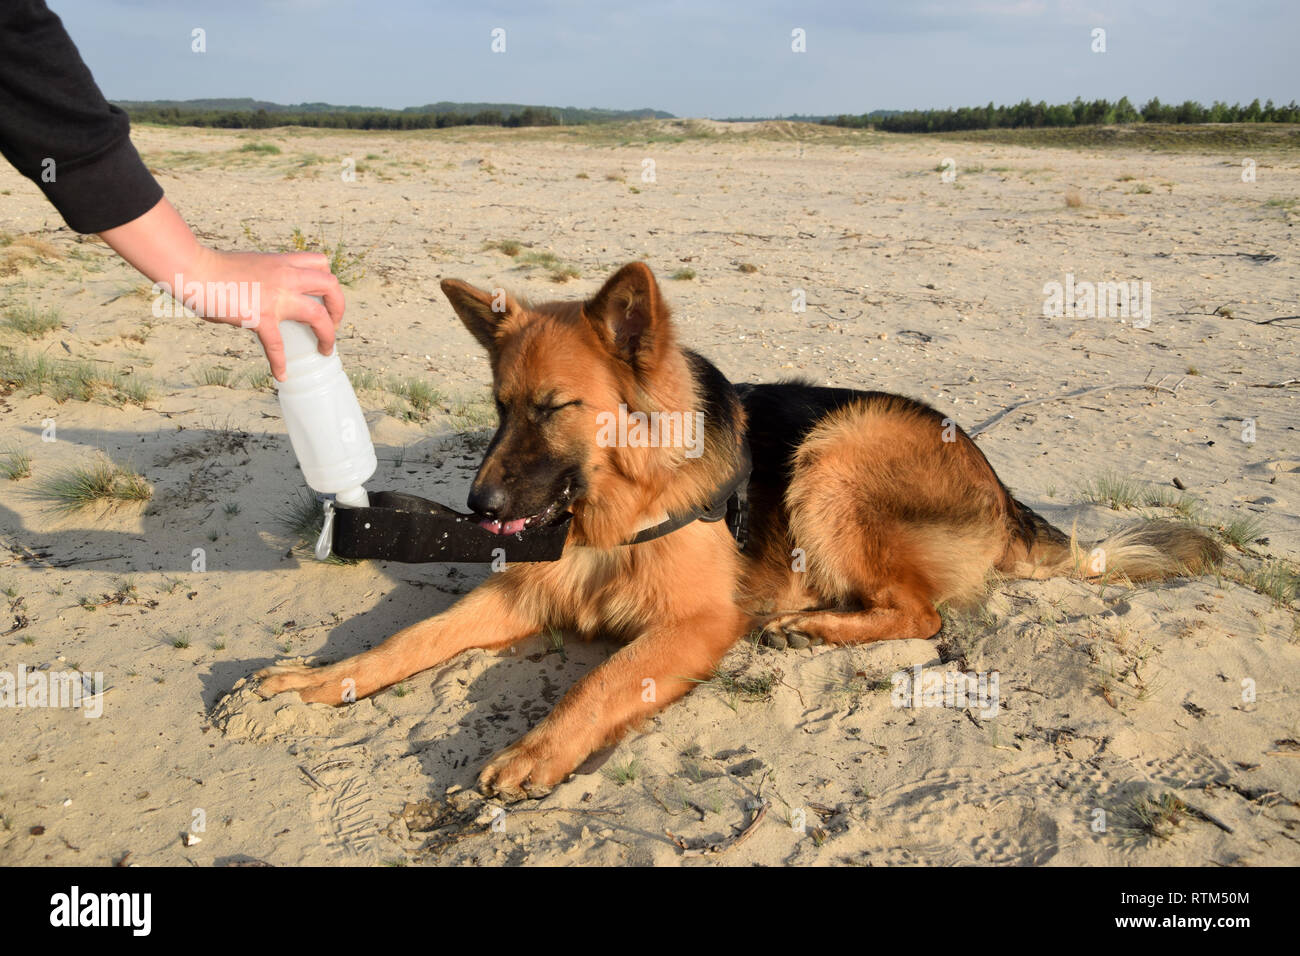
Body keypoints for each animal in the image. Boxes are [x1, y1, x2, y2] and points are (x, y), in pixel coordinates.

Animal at [258, 260, 1222, 801]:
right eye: (498, 408)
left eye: (555, 408)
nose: (480, 507)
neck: (624, 510)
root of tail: (1002, 487)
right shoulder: (524, 591)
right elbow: (409, 639)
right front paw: (324, 679)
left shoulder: (694, 623)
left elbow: (596, 683)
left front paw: (536, 751)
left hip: (834, 451)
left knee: (923, 613)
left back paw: (814, 624)